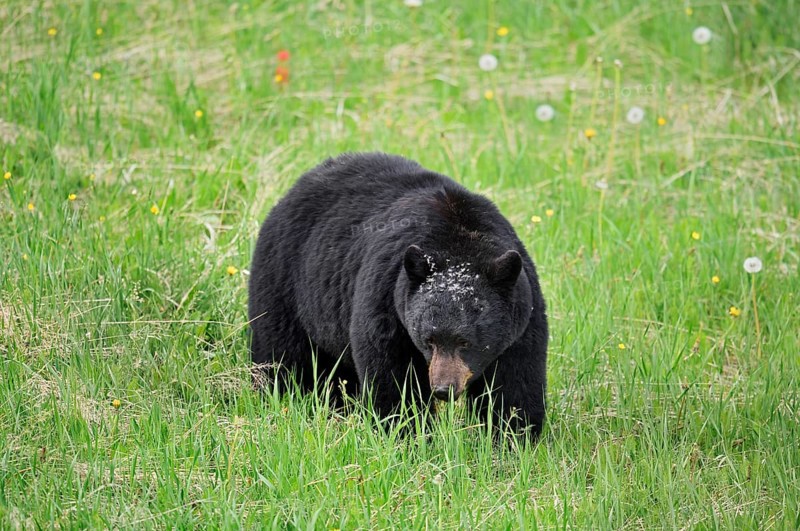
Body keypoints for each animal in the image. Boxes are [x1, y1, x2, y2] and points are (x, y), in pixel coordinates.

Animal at [248, 152, 548, 437]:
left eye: (465, 342)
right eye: (429, 340)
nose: (443, 389)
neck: (459, 238)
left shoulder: (522, 318)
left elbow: (514, 383)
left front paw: (512, 435)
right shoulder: (388, 299)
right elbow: (394, 377)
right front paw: (409, 431)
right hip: (285, 281)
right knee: (283, 355)